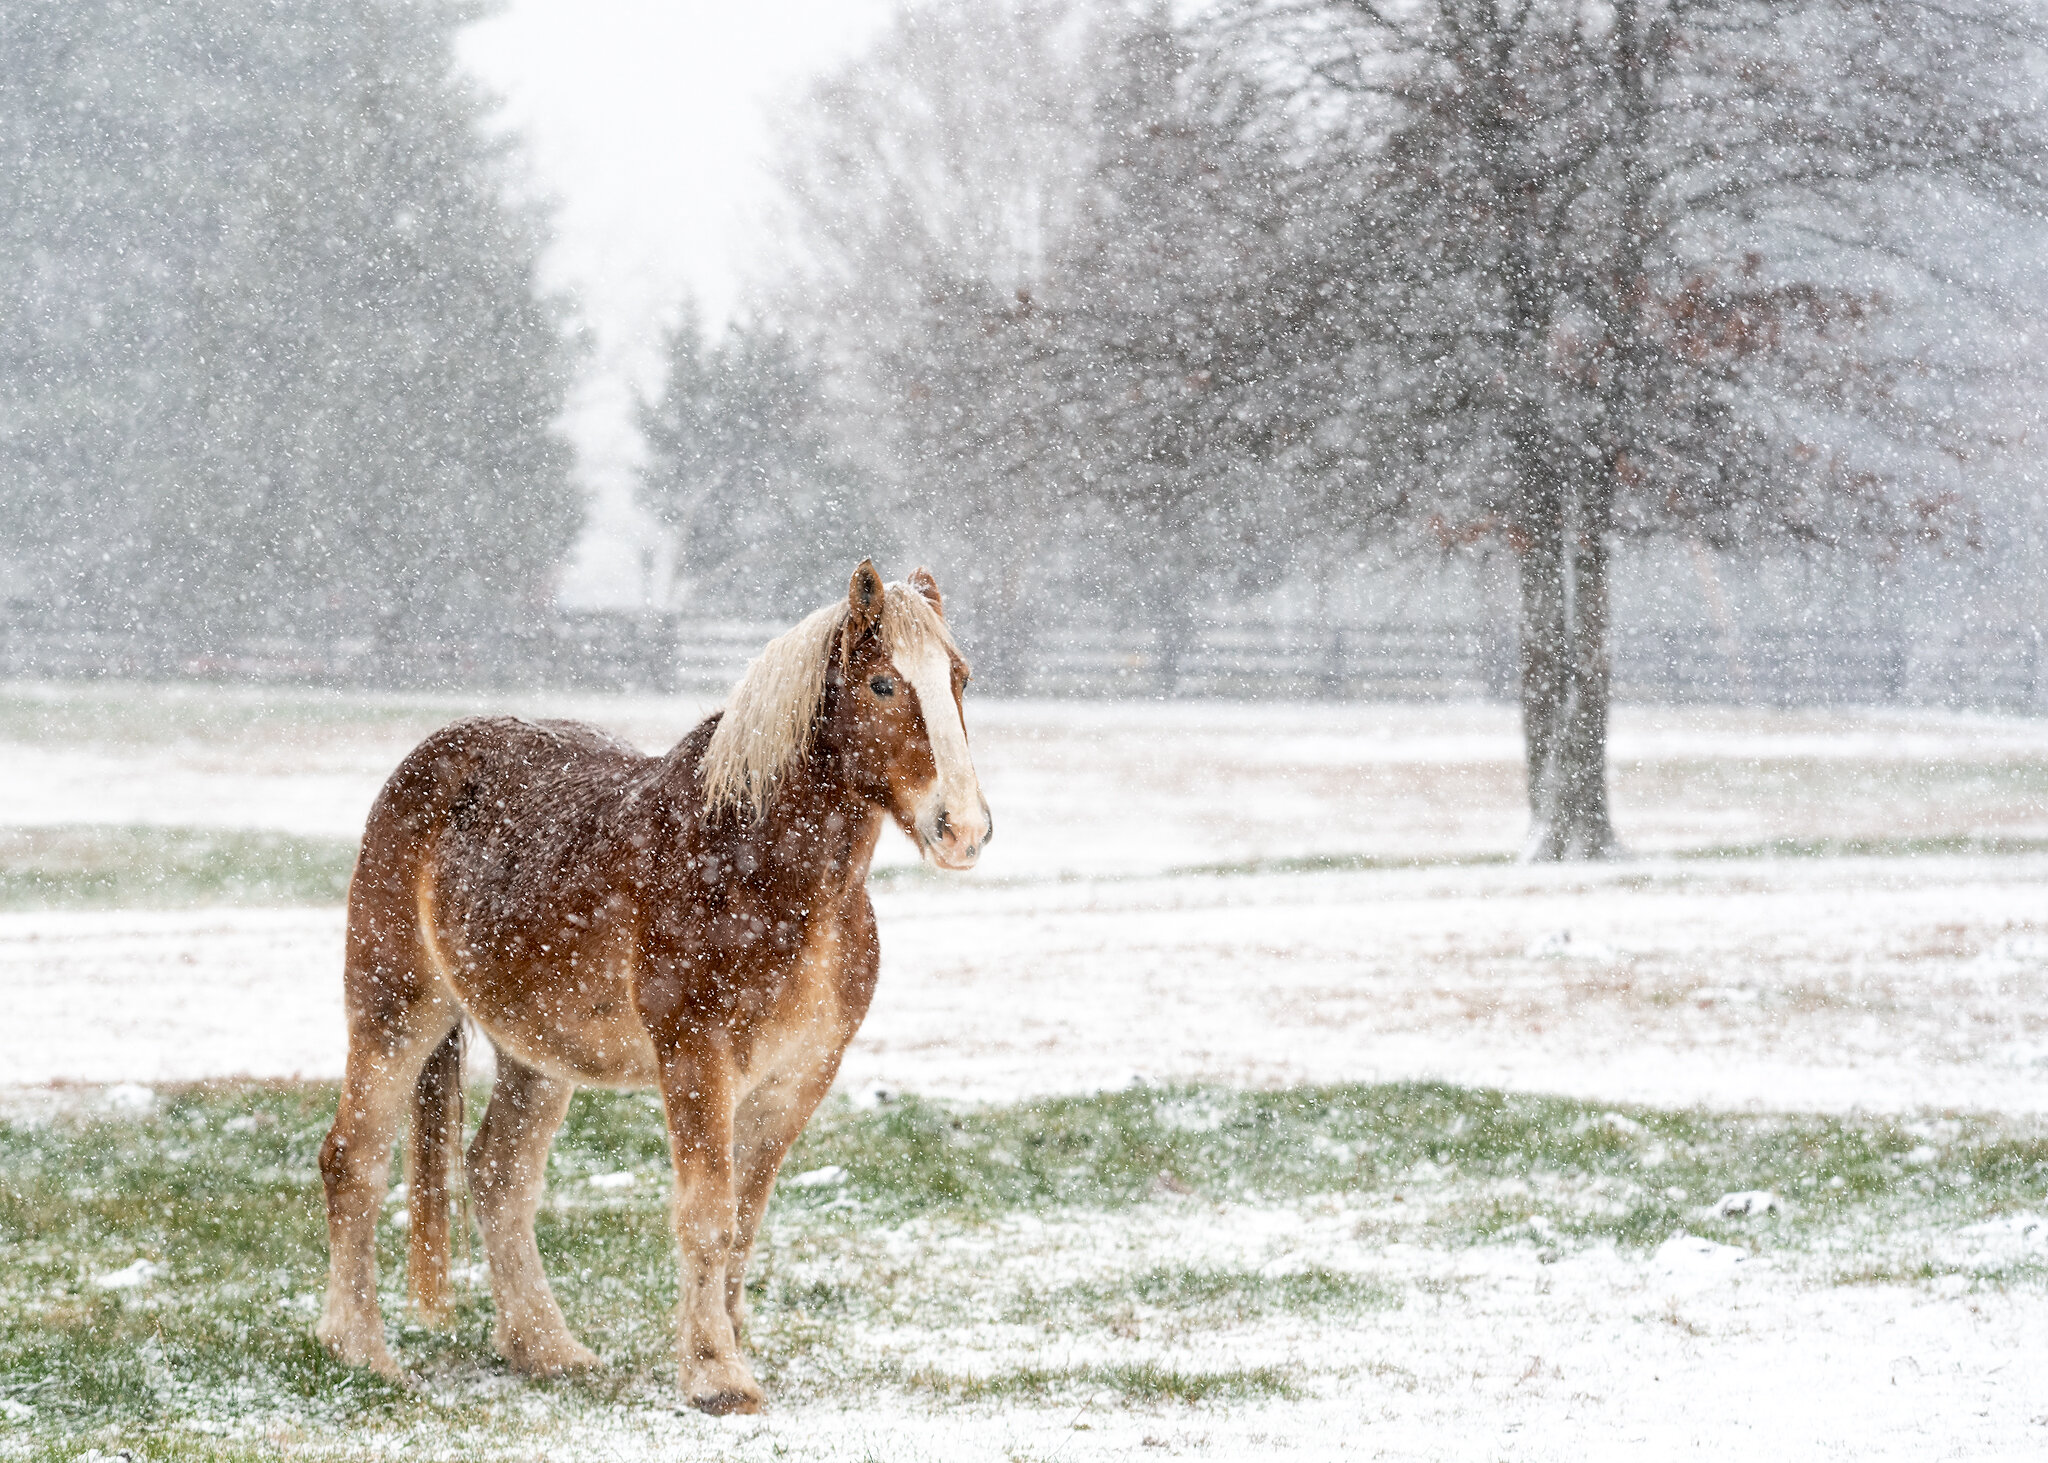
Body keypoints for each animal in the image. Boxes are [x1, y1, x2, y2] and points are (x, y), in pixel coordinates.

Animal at [311, 557, 991, 1401]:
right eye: (883, 684)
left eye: (959, 677)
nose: (963, 828)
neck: (756, 867)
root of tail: (426, 762)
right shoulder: (696, 1057)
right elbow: (707, 1213)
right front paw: (716, 1376)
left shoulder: (802, 1072)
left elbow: (746, 1215)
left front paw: (728, 1344)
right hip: (395, 1009)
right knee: (356, 1160)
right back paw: (358, 1348)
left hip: (537, 1052)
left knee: (499, 1174)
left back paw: (546, 1348)